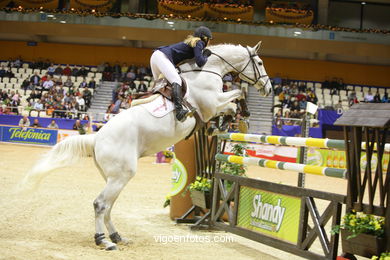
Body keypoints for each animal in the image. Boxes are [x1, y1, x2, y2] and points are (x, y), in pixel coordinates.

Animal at [19, 42, 272, 250]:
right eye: (259, 63)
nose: (268, 89)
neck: (209, 69)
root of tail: (96, 138)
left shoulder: (214, 105)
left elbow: (235, 98)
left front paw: (223, 125)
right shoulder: (211, 104)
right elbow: (236, 96)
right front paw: (236, 118)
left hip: (115, 177)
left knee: (108, 206)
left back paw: (118, 237)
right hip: (121, 175)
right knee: (100, 204)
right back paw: (104, 241)